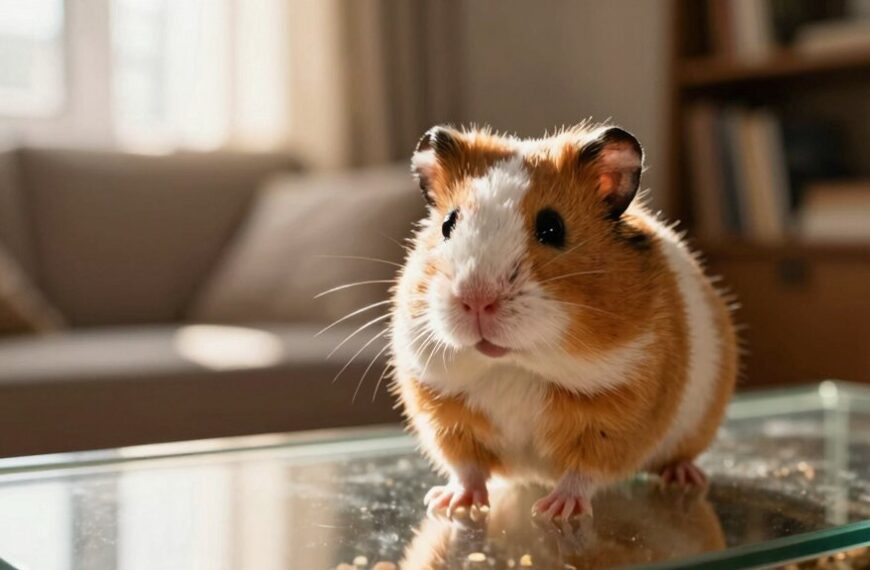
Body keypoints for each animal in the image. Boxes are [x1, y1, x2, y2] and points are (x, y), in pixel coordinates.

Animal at [389, 123, 738, 519]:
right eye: (448, 224)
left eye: (552, 227)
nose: (476, 299)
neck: (516, 365)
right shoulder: (444, 412)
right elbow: (467, 467)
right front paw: (448, 505)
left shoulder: (622, 414)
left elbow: (585, 470)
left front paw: (554, 511)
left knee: (677, 458)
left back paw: (685, 478)